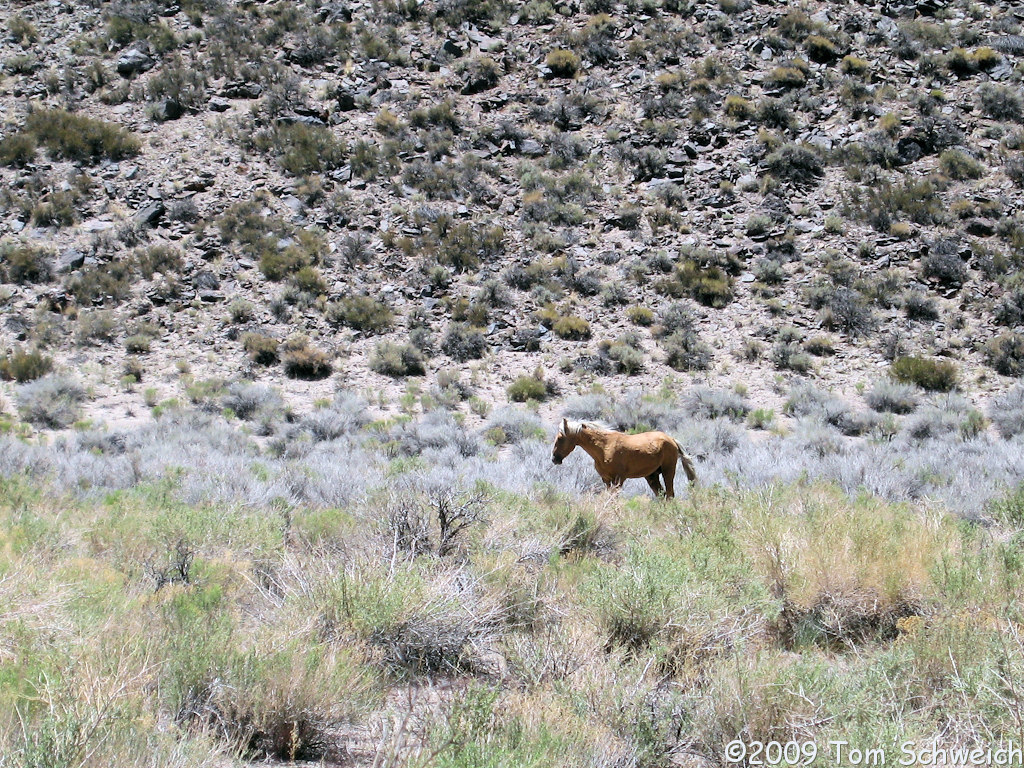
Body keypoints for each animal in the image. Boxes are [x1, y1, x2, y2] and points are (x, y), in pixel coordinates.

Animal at [552, 421, 696, 499]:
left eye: (560, 438)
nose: (554, 458)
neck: (604, 447)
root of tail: (671, 439)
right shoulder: (606, 479)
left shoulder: (618, 479)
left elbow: (614, 498)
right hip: (652, 476)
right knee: (662, 495)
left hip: (668, 471)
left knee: (670, 494)